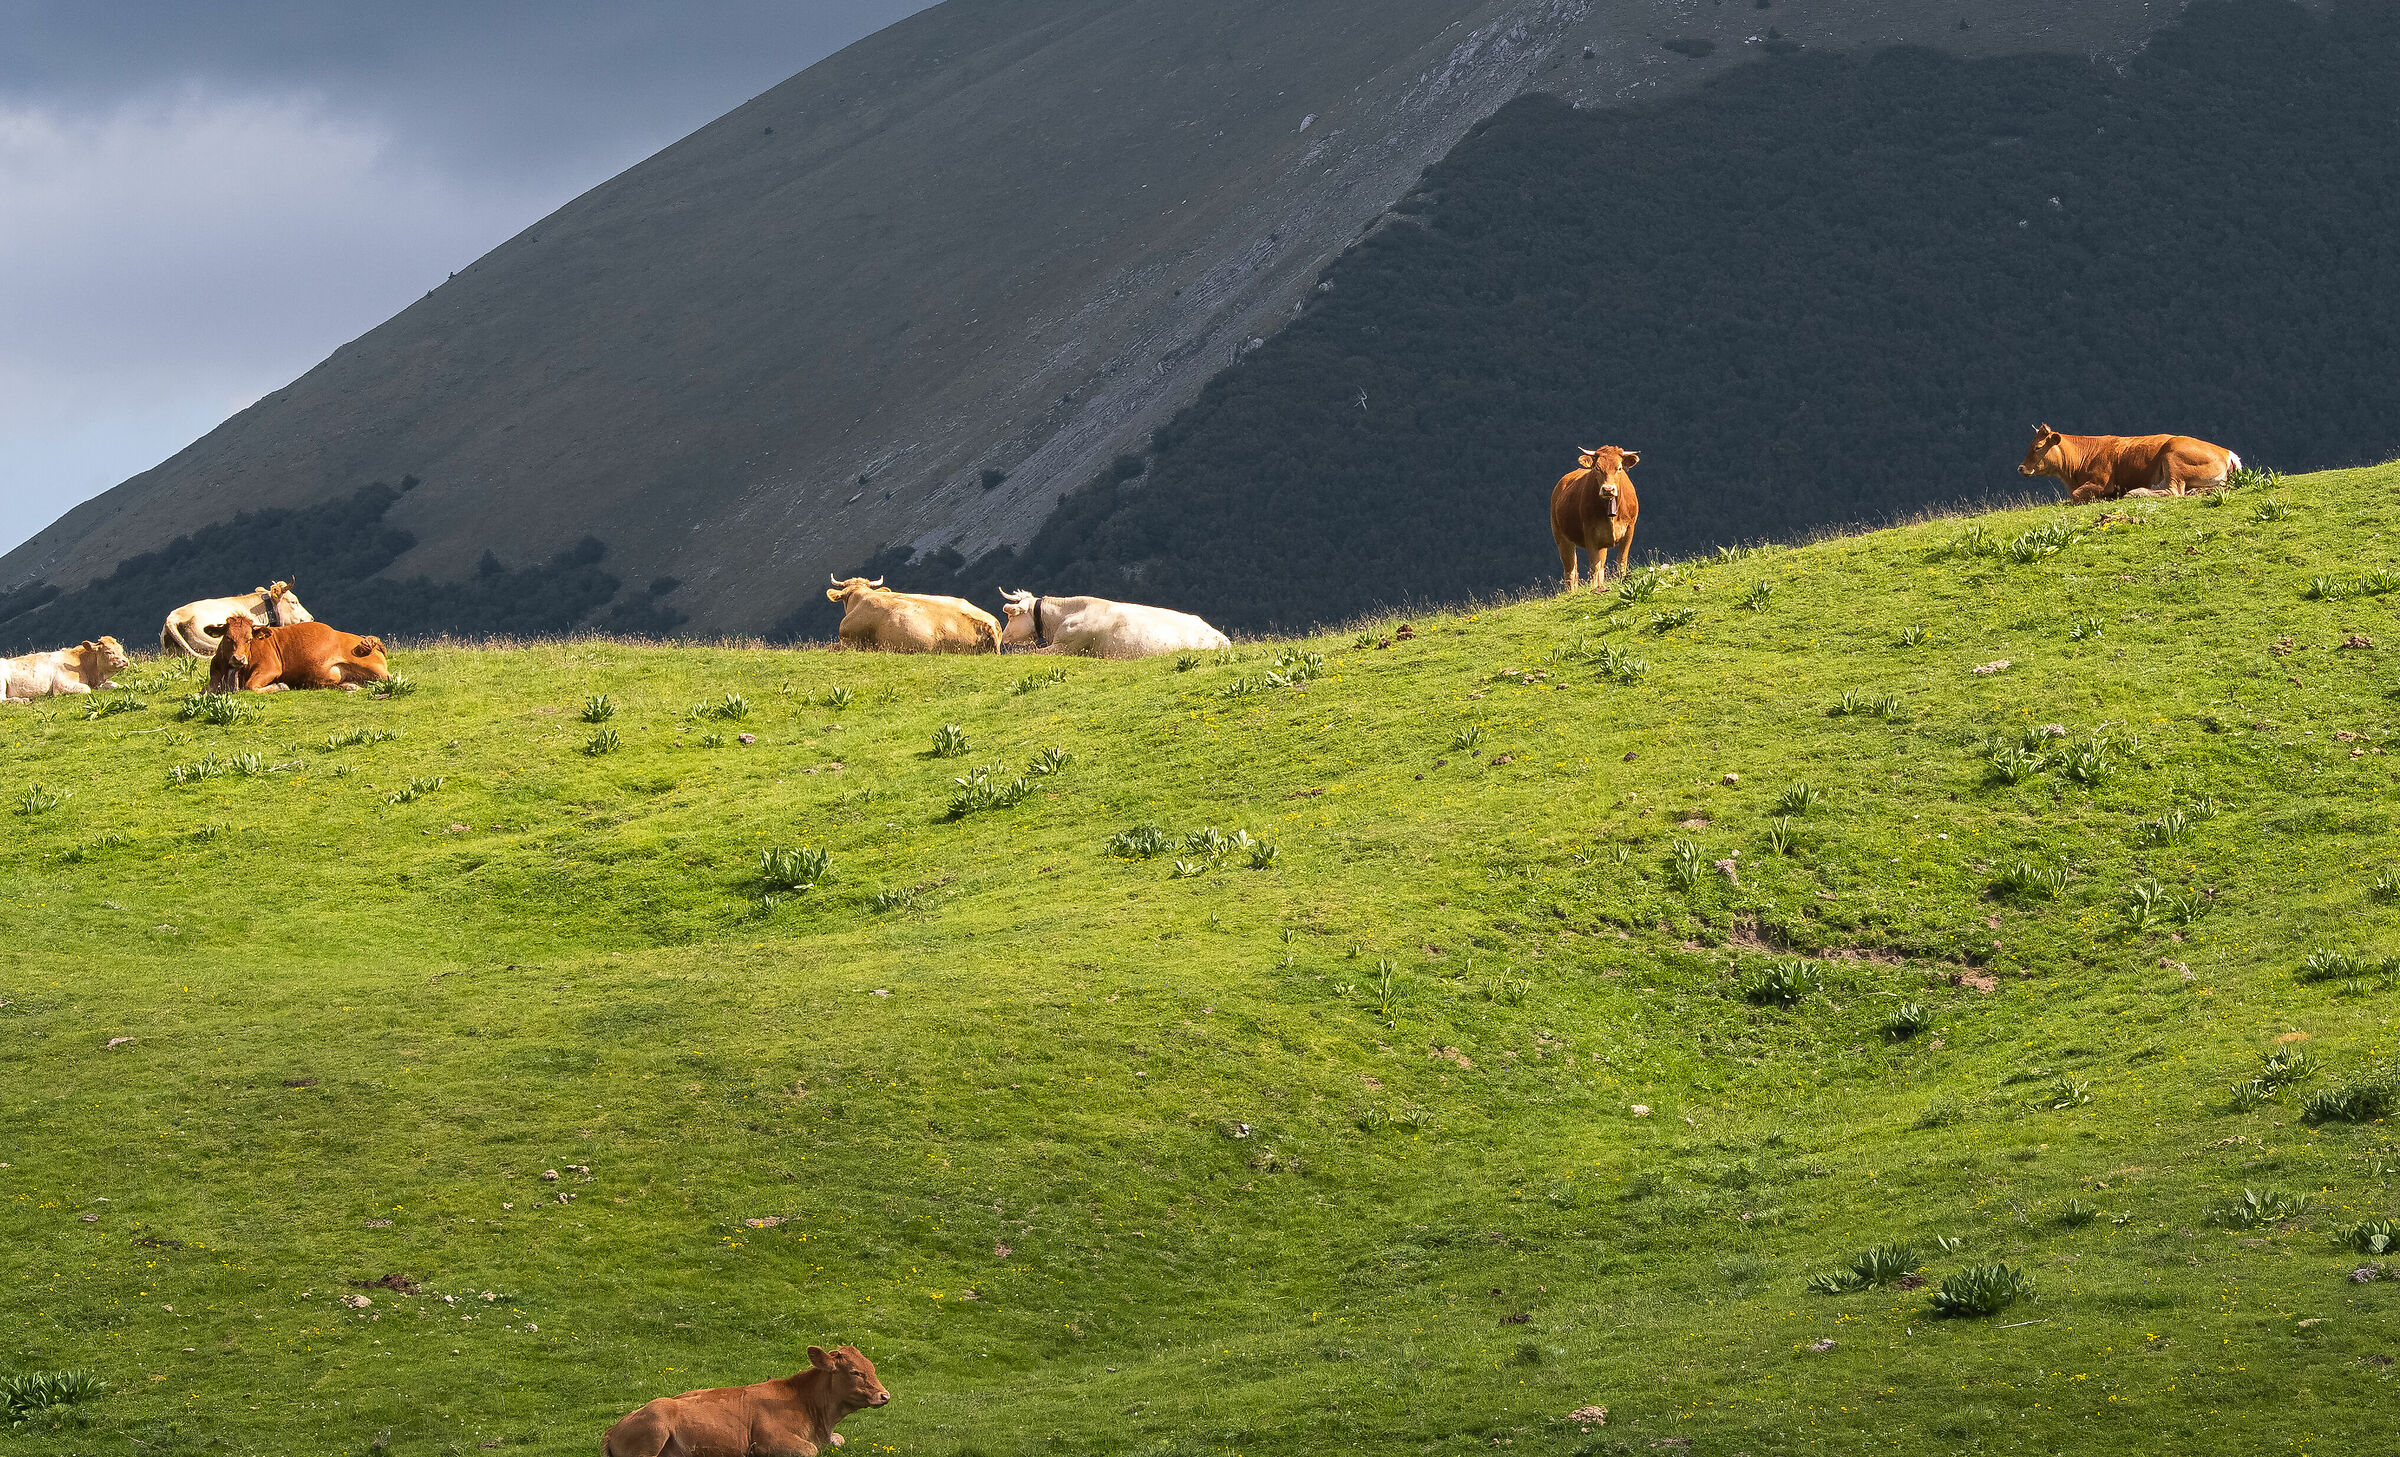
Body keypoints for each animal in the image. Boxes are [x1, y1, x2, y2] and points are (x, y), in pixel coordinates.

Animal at [1, 637, 130, 700]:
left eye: (121, 649)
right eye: (108, 652)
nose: (125, 661)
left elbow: (115, 684)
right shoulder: (61, 684)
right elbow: (86, 689)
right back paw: (21, 700)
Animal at [205, 615, 392, 692]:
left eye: (249, 639)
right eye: (228, 637)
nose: (238, 658)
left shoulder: (270, 668)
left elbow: (250, 686)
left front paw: (280, 686)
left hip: (374, 668)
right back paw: (350, 686)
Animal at [602, 1345, 890, 1457]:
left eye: (872, 1367)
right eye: (855, 1372)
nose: (884, 1395)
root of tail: (611, 1429)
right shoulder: (770, 1440)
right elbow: (810, 1450)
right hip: (655, 1428)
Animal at [1551, 445, 1642, 591]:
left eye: (1619, 468)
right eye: (1597, 468)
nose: (1608, 489)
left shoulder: (1629, 529)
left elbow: (1621, 560)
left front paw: (1622, 580)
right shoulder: (1590, 533)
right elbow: (1594, 565)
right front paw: (1593, 588)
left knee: (1600, 566)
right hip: (1561, 537)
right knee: (1570, 570)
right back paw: (1572, 592)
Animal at [2017, 425, 2242, 503]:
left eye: (2037, 447)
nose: (2020, 467)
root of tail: (2227, 452)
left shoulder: (2101, 482)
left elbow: (2076, 495)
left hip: (2173, 455)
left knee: (2174, 490)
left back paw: (2135, 492)